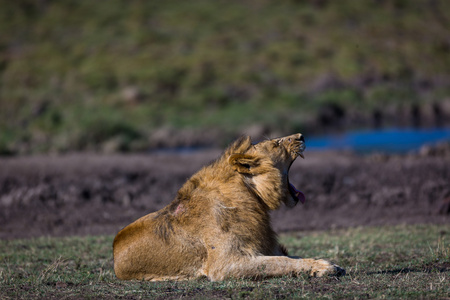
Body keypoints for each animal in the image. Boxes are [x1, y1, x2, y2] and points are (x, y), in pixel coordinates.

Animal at [112, 134, 344, 282]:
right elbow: (280, 263)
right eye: (277, 143)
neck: (252, 196)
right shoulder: (225, 264)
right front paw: (324, 268)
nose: (302, 135)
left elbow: (289, 258)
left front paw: (328, 263)